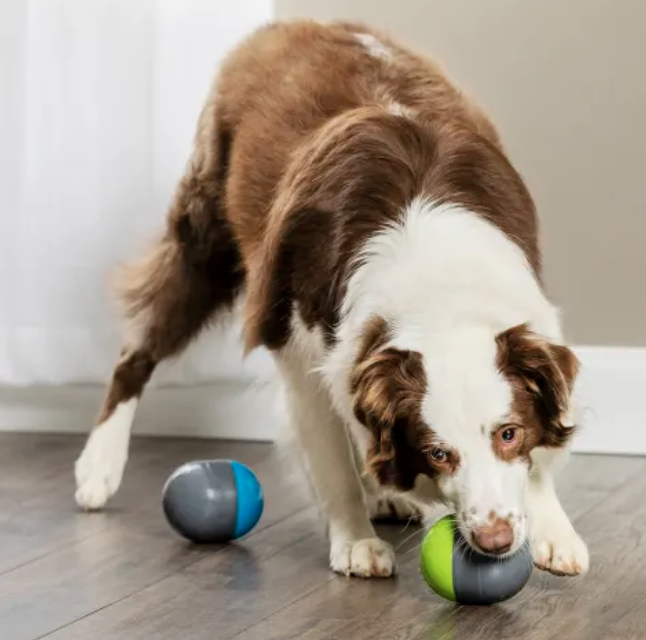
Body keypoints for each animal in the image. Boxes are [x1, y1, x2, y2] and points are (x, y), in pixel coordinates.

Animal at [73, 20, 588, 580]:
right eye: (436, 453)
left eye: (508, 433)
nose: (495, 540)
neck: (441, 291)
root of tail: (294, 26)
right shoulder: (302, 352)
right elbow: (331, 461)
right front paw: (356, 542)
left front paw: (554, 529)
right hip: (203, 240)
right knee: (137, 353)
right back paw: (98, 467)